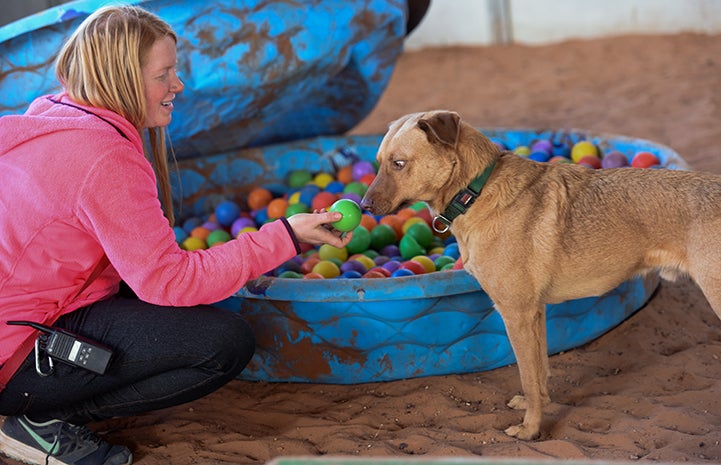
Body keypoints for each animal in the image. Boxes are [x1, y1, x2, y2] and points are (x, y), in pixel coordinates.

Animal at [360, 109, 721, 438]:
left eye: (399, 163)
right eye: (379, 162)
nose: (362, 206)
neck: (475, 191)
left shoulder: (516, 314)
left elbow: (527, 375)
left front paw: (530, 428)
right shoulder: (536, 311)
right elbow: (539, 370)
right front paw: (538, 407)